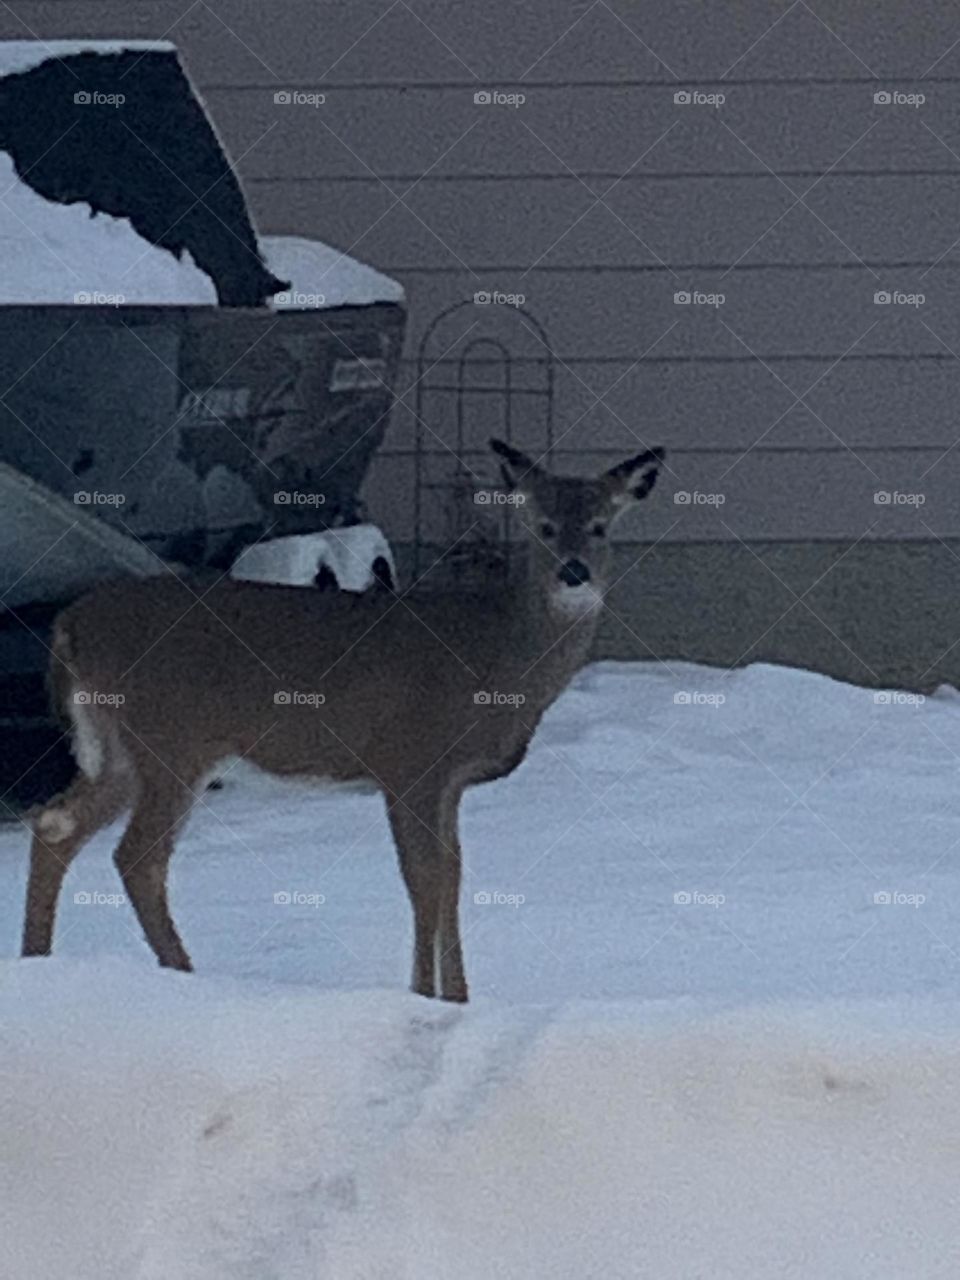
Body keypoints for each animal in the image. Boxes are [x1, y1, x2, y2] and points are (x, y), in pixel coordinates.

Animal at [21, 438, 665, 1002]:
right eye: (542, 525)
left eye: (601, 526)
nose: (574, 573)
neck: (495, 659)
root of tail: (70, 625)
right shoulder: (409, 760)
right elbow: (425, 878)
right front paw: (427, 996)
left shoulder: (447, 782)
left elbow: (453, 875)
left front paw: (459, 997)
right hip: (173, 740)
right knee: (137, 856)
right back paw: (183, 973)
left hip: (120, 752)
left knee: (55, 825)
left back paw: (37, 961)